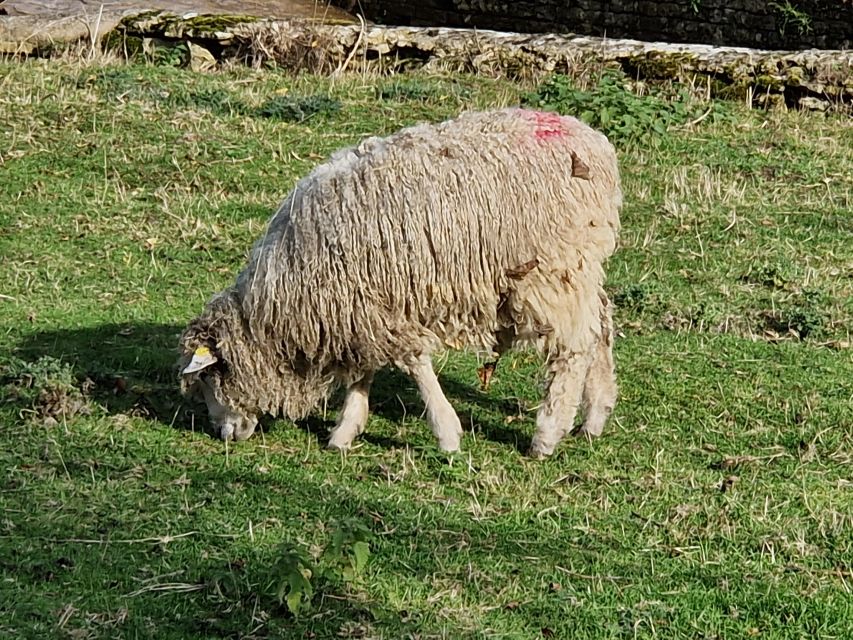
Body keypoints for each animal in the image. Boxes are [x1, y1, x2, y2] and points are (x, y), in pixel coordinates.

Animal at [178, 107, 620, 458]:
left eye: (210, 379)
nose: (225, 435)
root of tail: (592, 142)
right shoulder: (360, 309)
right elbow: (364, 371)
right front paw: (345, 431)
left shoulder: (376, 307)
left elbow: (415, 365)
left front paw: (447, 434)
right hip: (580, 264)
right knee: (601, 327)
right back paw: (594, 419)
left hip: (551, 271)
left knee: (572, 351)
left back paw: (547, 435)